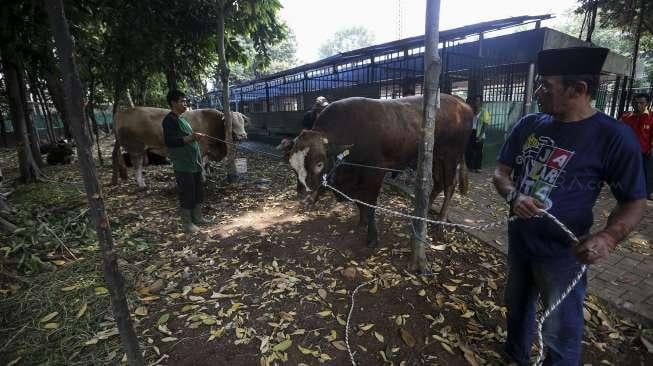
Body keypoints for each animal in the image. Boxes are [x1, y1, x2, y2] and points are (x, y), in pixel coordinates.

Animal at [112, 105, 247, 186]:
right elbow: (202, 164)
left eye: (243, 121)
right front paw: (203, 179)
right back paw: (142, 185)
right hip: (136, 149)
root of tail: (122, 112)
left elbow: (206, 163)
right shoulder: (201, 148)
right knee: (137, 166)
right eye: (232, 123)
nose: (243, 136)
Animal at [278, 95, 472, 249]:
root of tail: (461, 102)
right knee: (437, 185)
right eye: (292, 165)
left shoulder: (375, 174)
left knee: (449, 186)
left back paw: (439, 226)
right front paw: (361, 222)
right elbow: (360, 203)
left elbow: (370, 205)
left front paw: (372, 237)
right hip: (434, 158)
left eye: (319, 164)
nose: (304, 198)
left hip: (451, 156)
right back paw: (420, 217)